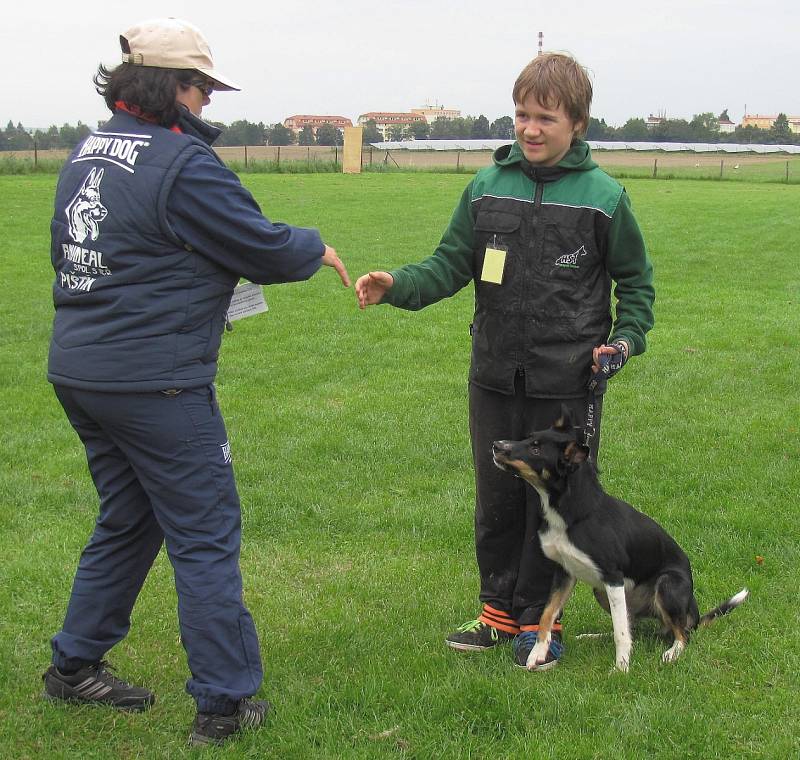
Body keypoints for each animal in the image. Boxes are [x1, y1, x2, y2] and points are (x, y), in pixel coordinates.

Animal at [490, 410, 748, 672]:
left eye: (535, 449)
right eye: (528, 438)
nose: (496, 445)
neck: (574, 513)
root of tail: (693, 615)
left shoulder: (613, 577)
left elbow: (620, 632)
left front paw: (621, 667)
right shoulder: (565, 572)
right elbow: (547, 614)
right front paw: (537, 653)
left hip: (667, 585)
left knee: (681, 633)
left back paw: (672, 652)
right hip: (602, 592)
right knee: (633, 625)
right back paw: (593, 637)